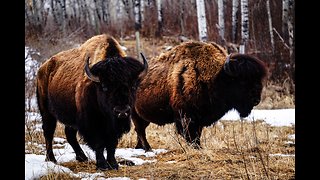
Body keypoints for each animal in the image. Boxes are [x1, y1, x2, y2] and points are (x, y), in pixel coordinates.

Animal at [35, 33, 148, 170]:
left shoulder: (112, 128)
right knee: (48, 132)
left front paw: (113, 164)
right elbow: (98, 144)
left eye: (133, 86)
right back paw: (51, 159)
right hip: (46, 111)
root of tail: (42, 68)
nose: (122, 111)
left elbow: (111, 144)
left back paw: (82, 157)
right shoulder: (92, 124)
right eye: (104, 86)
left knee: (69, 134)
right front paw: (102, 165)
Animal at [132, 40, 268, 150]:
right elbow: (191, 136)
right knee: (140, 130)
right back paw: (147, 148)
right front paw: (196, 148)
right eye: (242, 81)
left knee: (140, 130)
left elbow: (198, 135)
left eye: (258, 79)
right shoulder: (186, 118)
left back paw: (140, 147)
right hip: (135, 115)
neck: (216, 77)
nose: (256, 100)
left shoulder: (200, 119)